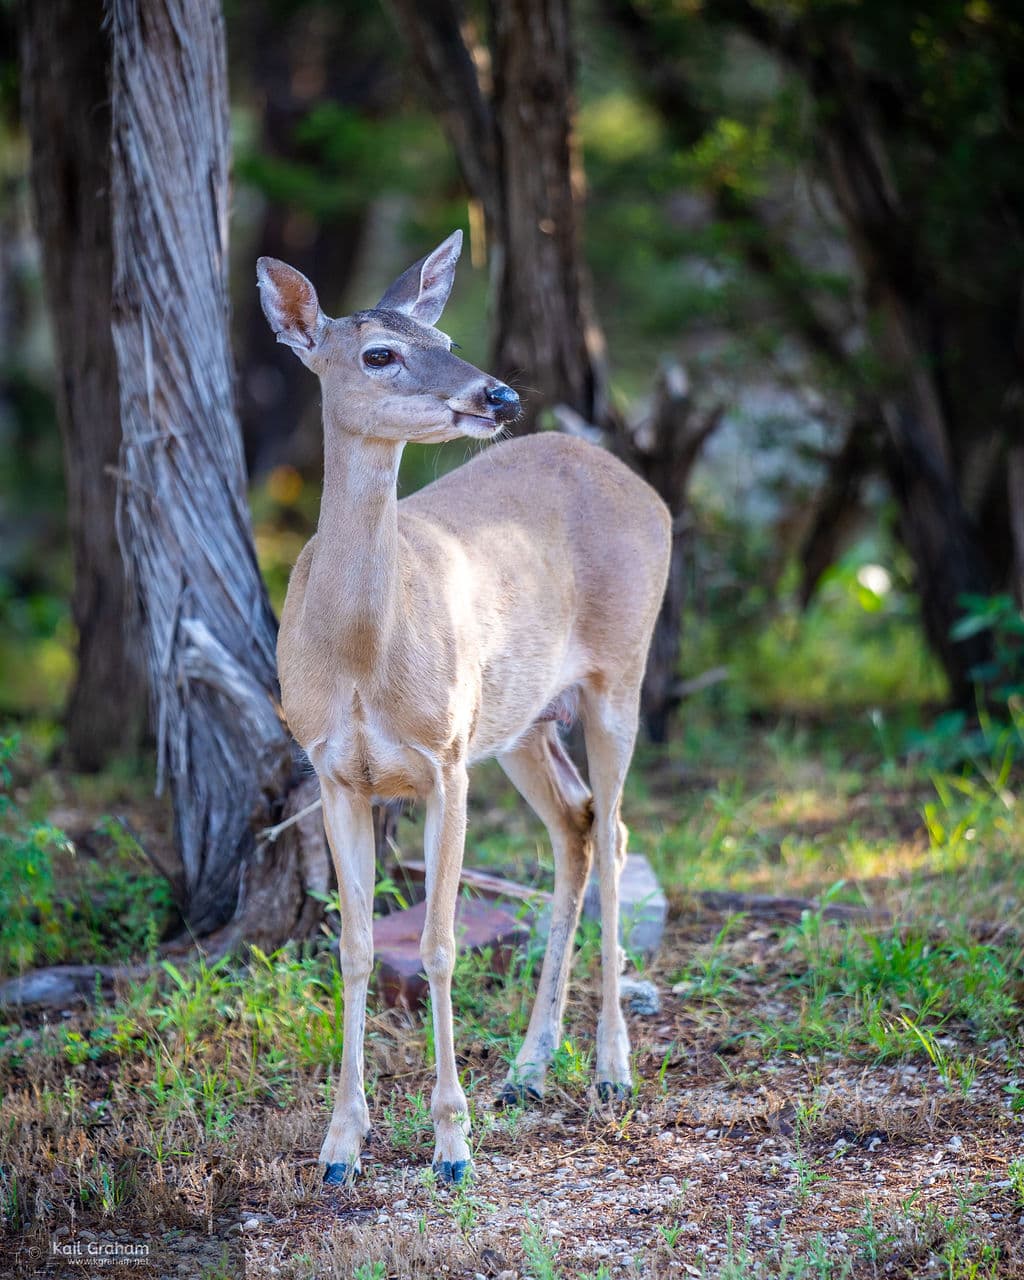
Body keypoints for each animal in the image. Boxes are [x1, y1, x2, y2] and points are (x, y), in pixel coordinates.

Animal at [258, 232, 670, 1187]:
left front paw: (451, 1145)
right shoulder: (332, 770)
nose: (499, 393)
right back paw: (529, 1067)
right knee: (578, 827)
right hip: (521, 719)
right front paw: (340, 1147)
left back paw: (612, 1067)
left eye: (442, 334)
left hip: (619, 674)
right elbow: (356, 948)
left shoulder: (445, 760)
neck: (361, 656)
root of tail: (644, 486)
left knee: (618, 832)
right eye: (380, 352)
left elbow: (440, 946)